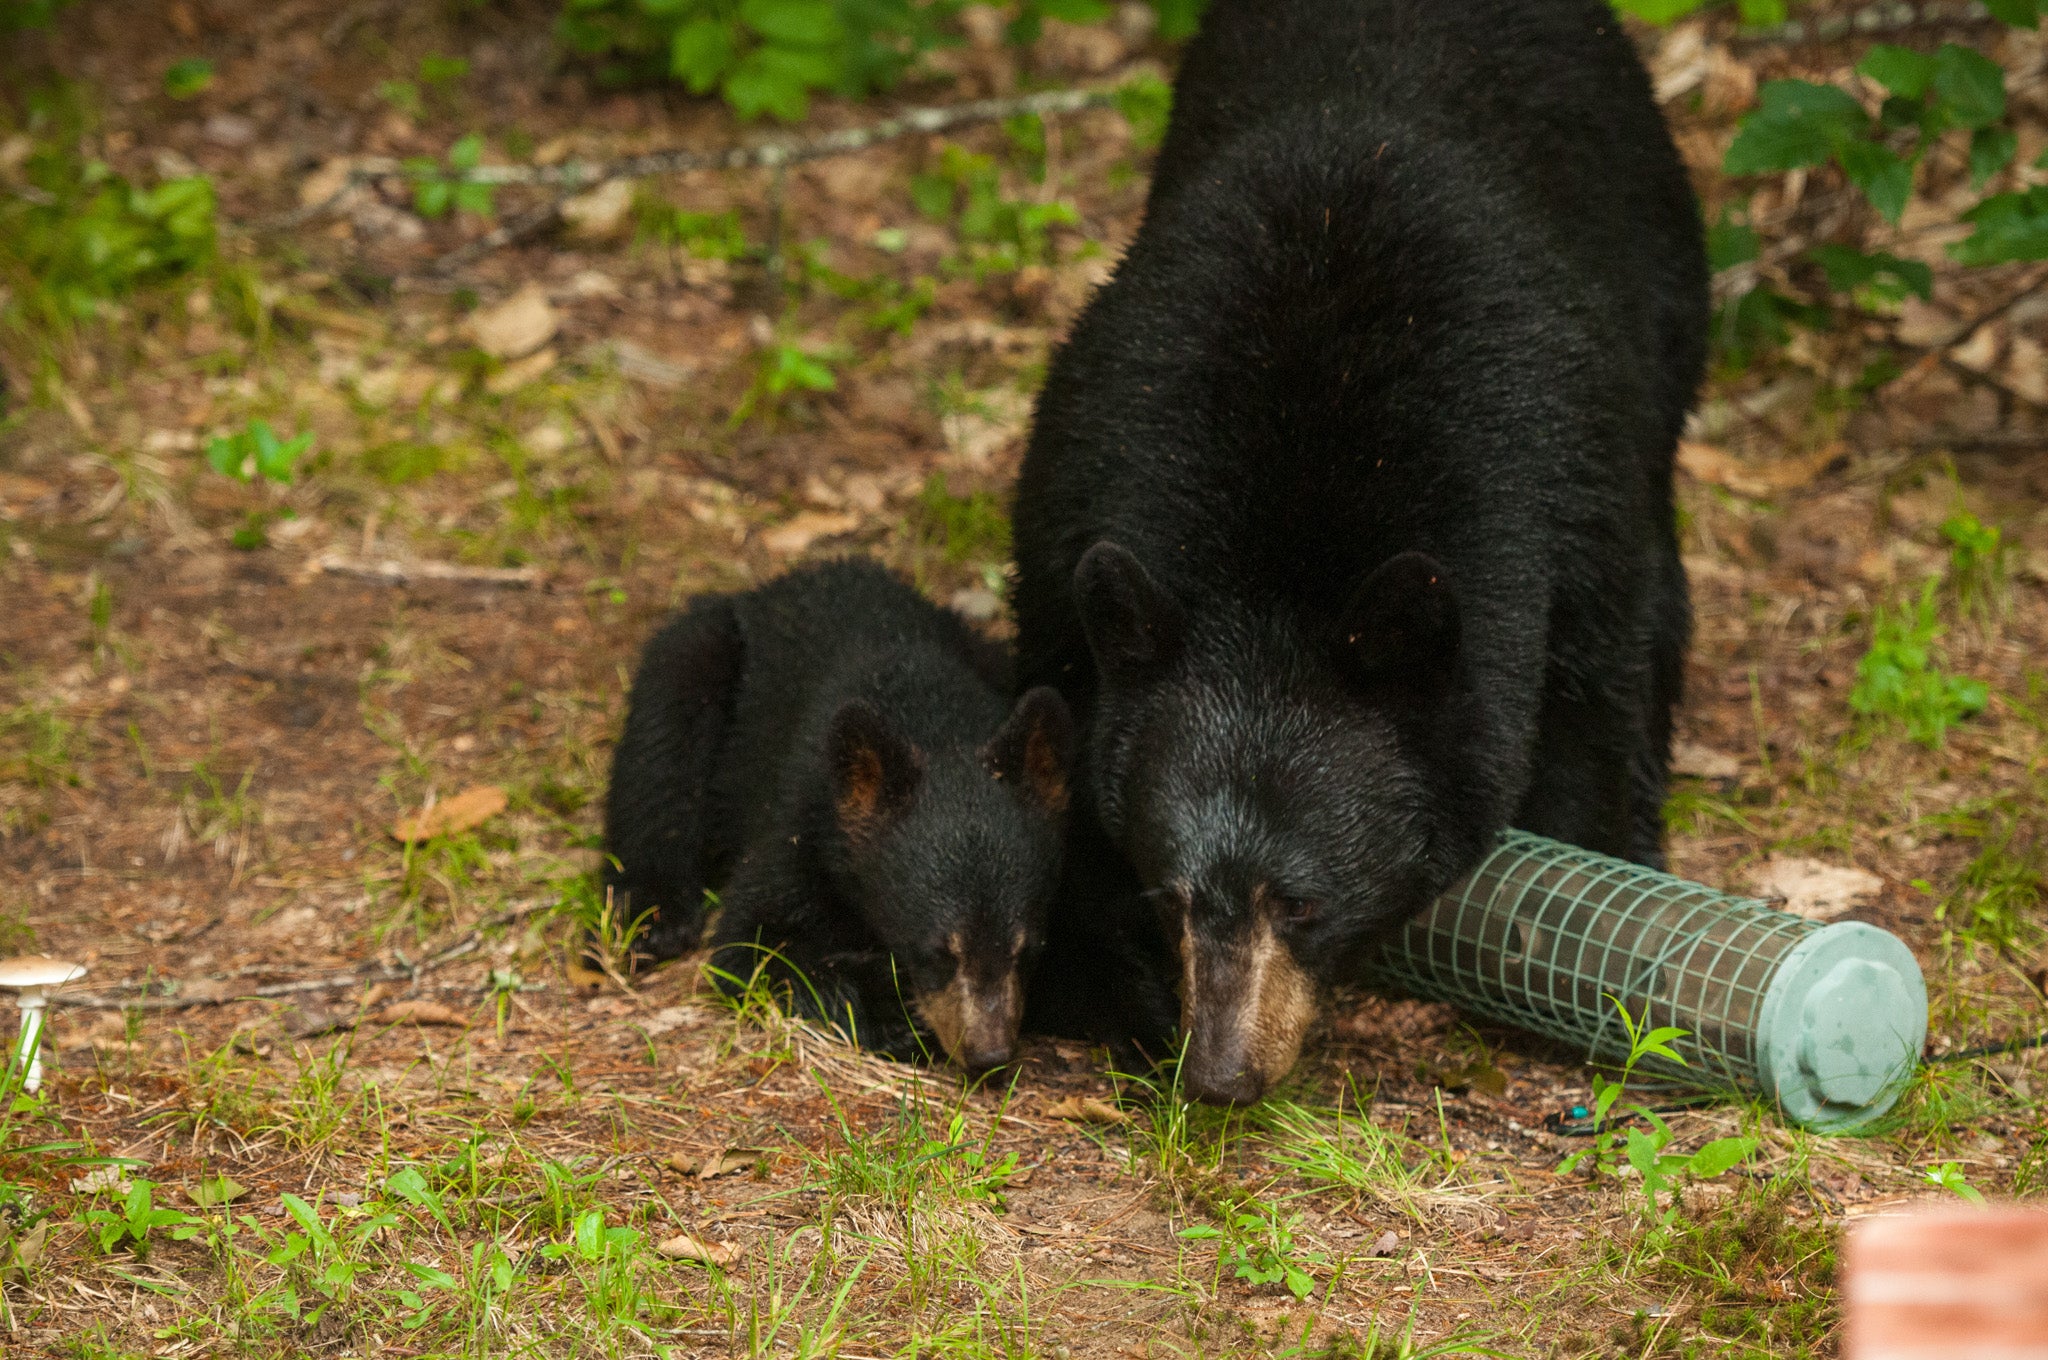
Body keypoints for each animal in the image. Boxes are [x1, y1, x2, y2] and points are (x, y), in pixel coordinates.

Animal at [601, 559, 1073, 1070]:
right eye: (935, 951)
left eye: (1029, 949)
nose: (989, 1054)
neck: (927, 715)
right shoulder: (805, 820)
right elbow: (753, 940)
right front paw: (891, 1009)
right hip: (698, 652)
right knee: (660, 753)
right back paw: (652, 918)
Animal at [1010, 0, 1709, 1103]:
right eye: (1171, 894)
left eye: (1300, 901)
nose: (1222, 1074)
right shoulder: (1072, 497)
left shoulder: (1563, 492)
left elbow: (1595, 704)